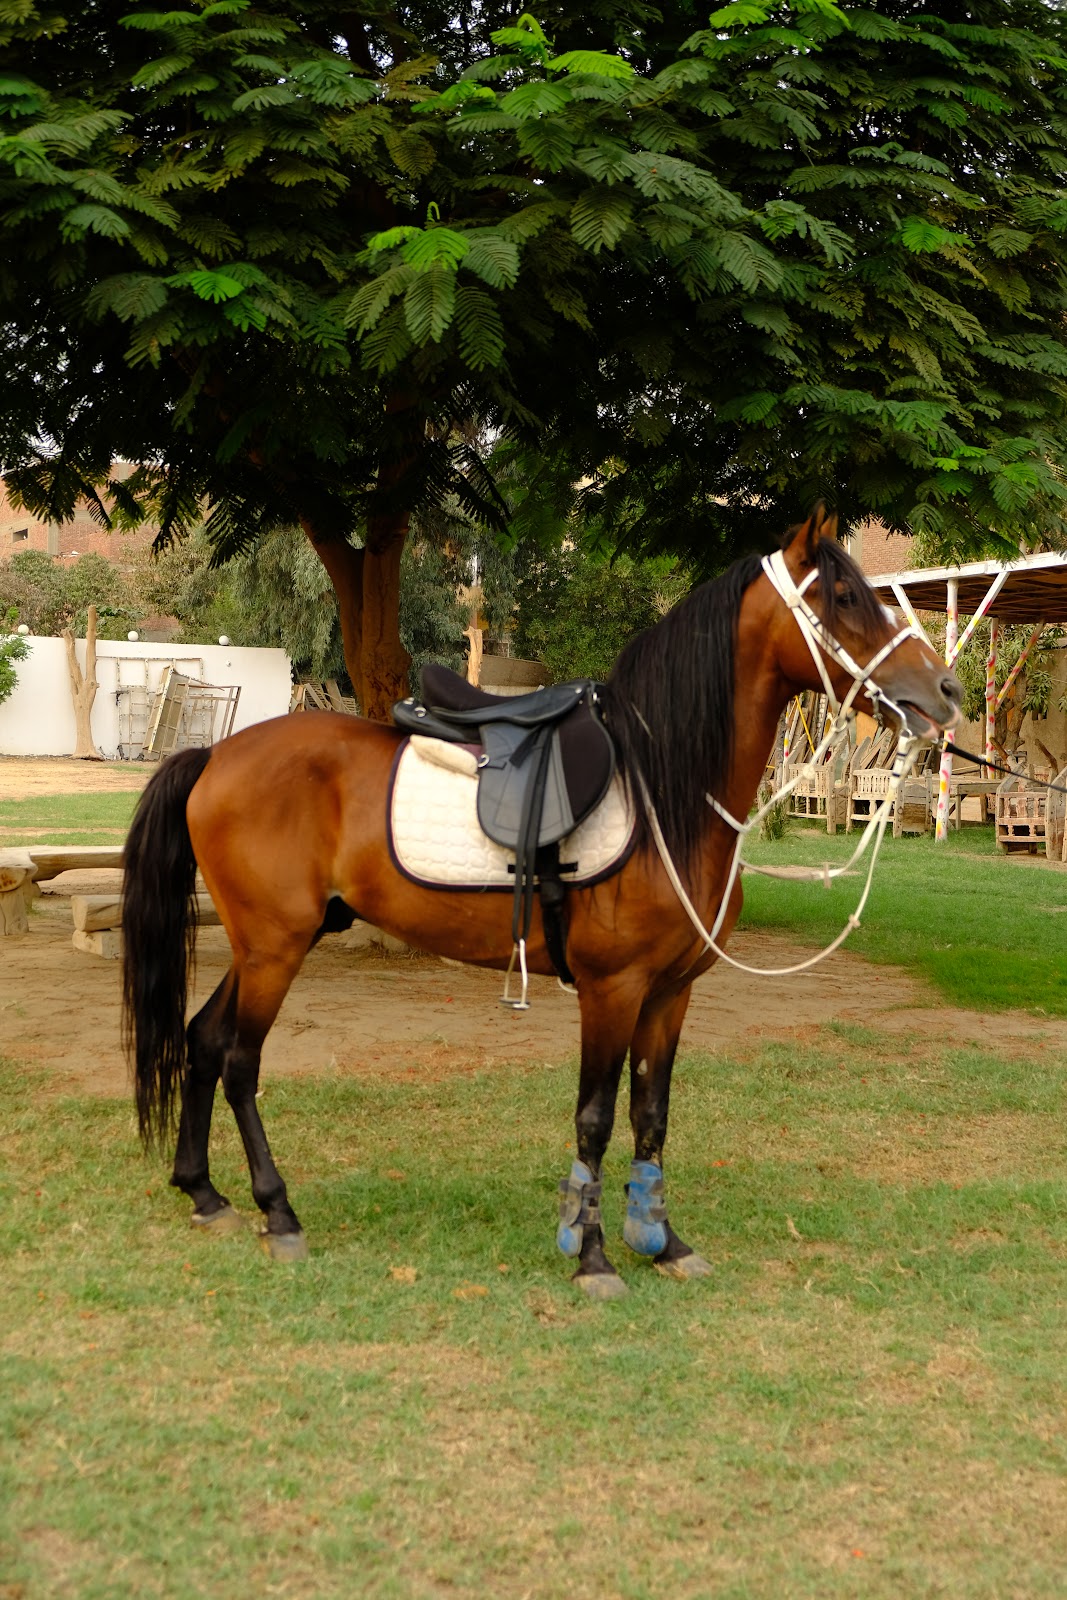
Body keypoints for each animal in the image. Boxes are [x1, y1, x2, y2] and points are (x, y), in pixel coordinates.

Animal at [122, 507, 962, 1298]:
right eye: (845, 598)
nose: (946, 691)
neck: (664, 795)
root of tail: (214, 754)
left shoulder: (671, 993)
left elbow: (651, 1116)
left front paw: (662, 1241)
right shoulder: (611, 989)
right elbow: (594, 1118)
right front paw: (590, 1256)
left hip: (264, 943)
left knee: (201, 1040)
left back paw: (204, 1193)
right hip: (276, 947)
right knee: (239, 1062)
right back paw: (278, 1211)